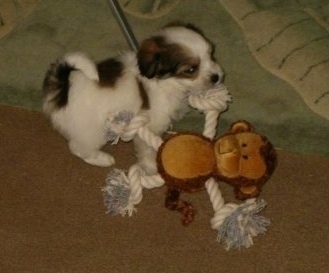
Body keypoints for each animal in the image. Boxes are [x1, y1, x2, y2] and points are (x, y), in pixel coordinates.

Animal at [42, 22, 223, 172]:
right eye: (191, 69)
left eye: (211, 55)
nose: (216, 77)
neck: (166, 82)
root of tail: (61, 88)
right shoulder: (149, 126)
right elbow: (147, 149)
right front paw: (151, 167)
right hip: (92, 130)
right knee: (77, 147)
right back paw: (102, 159)